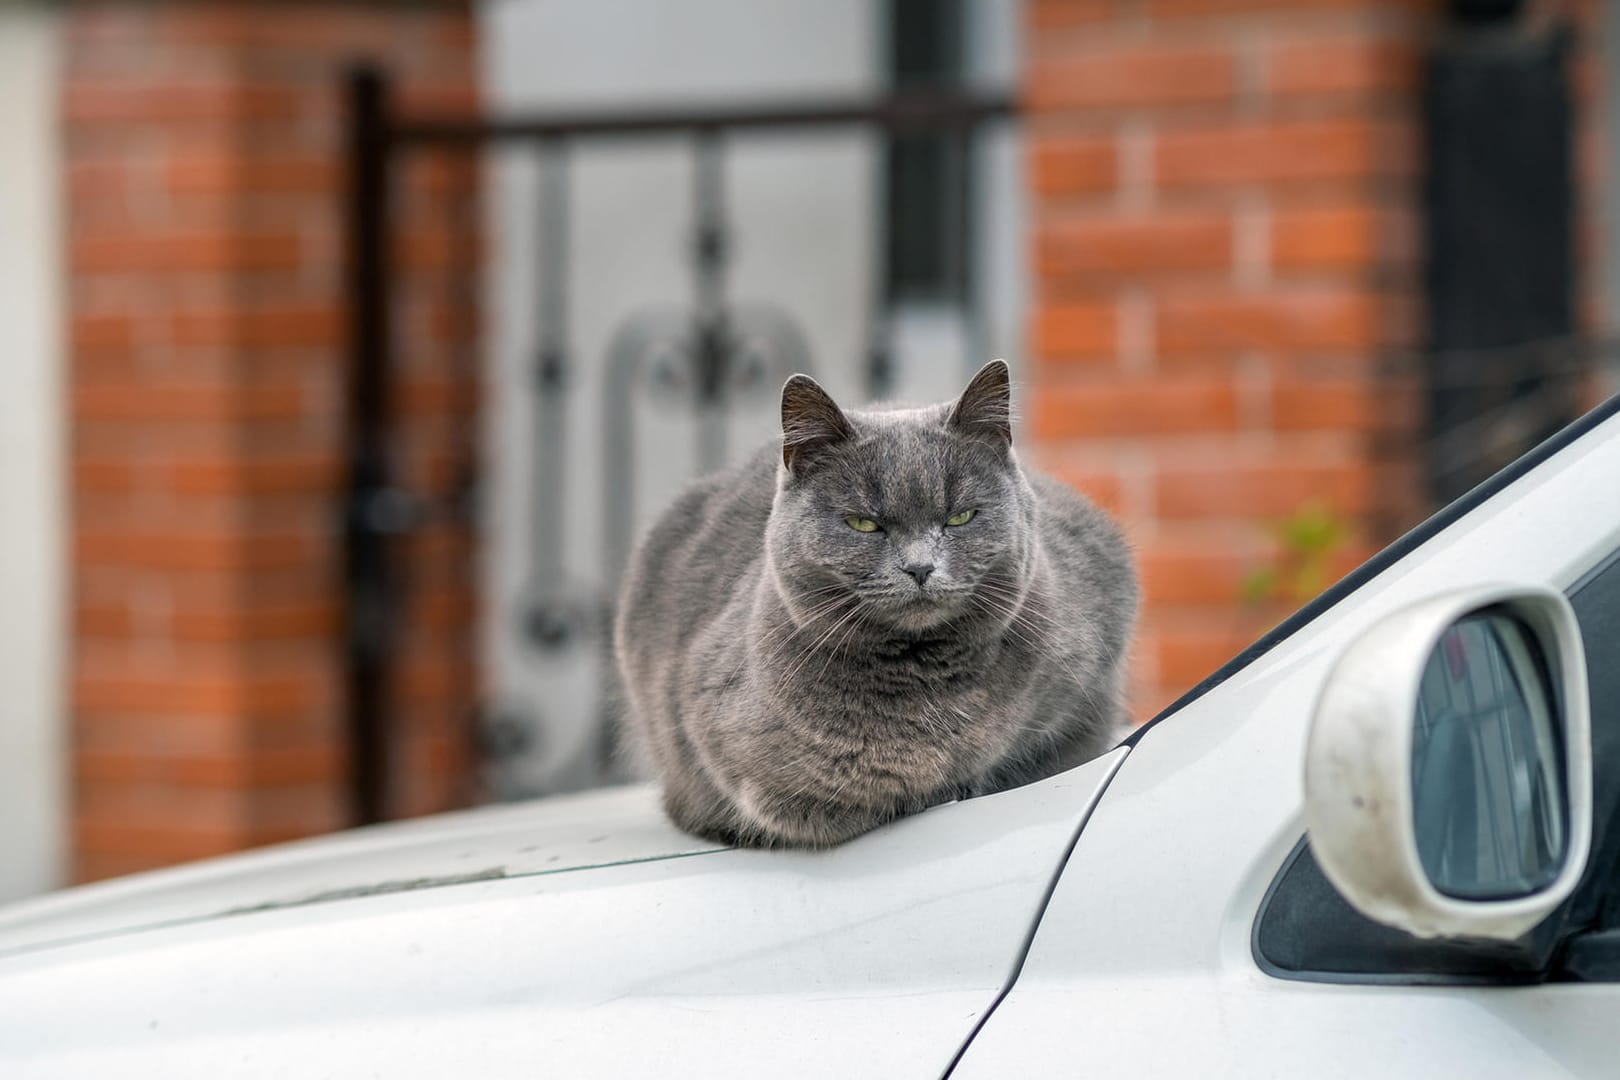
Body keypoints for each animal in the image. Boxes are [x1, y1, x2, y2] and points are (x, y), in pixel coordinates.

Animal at [612, 359, 1134, 848]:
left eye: (960, 517)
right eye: (865, 523)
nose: (919, 567)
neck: (924, 684)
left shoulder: (1089, 674)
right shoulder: (738, 754)